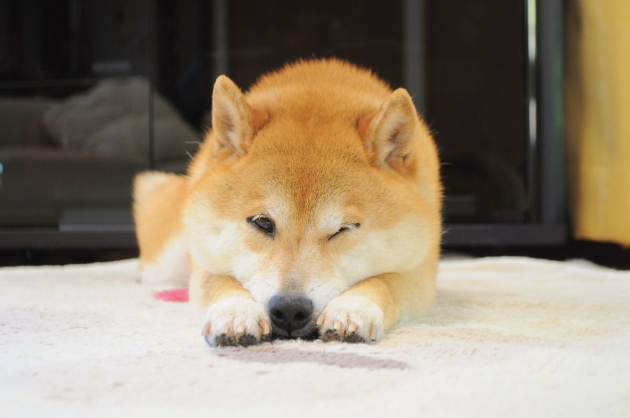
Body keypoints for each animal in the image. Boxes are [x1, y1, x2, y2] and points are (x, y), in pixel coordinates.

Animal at [133, 58, 442, 346]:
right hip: (167, 259)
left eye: (342, 229)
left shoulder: (420, 269)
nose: (290, 310)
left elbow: (385, 281)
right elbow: (220, 281)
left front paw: (354, 307)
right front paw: (235, 311)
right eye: (262, 223)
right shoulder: (204, 263)